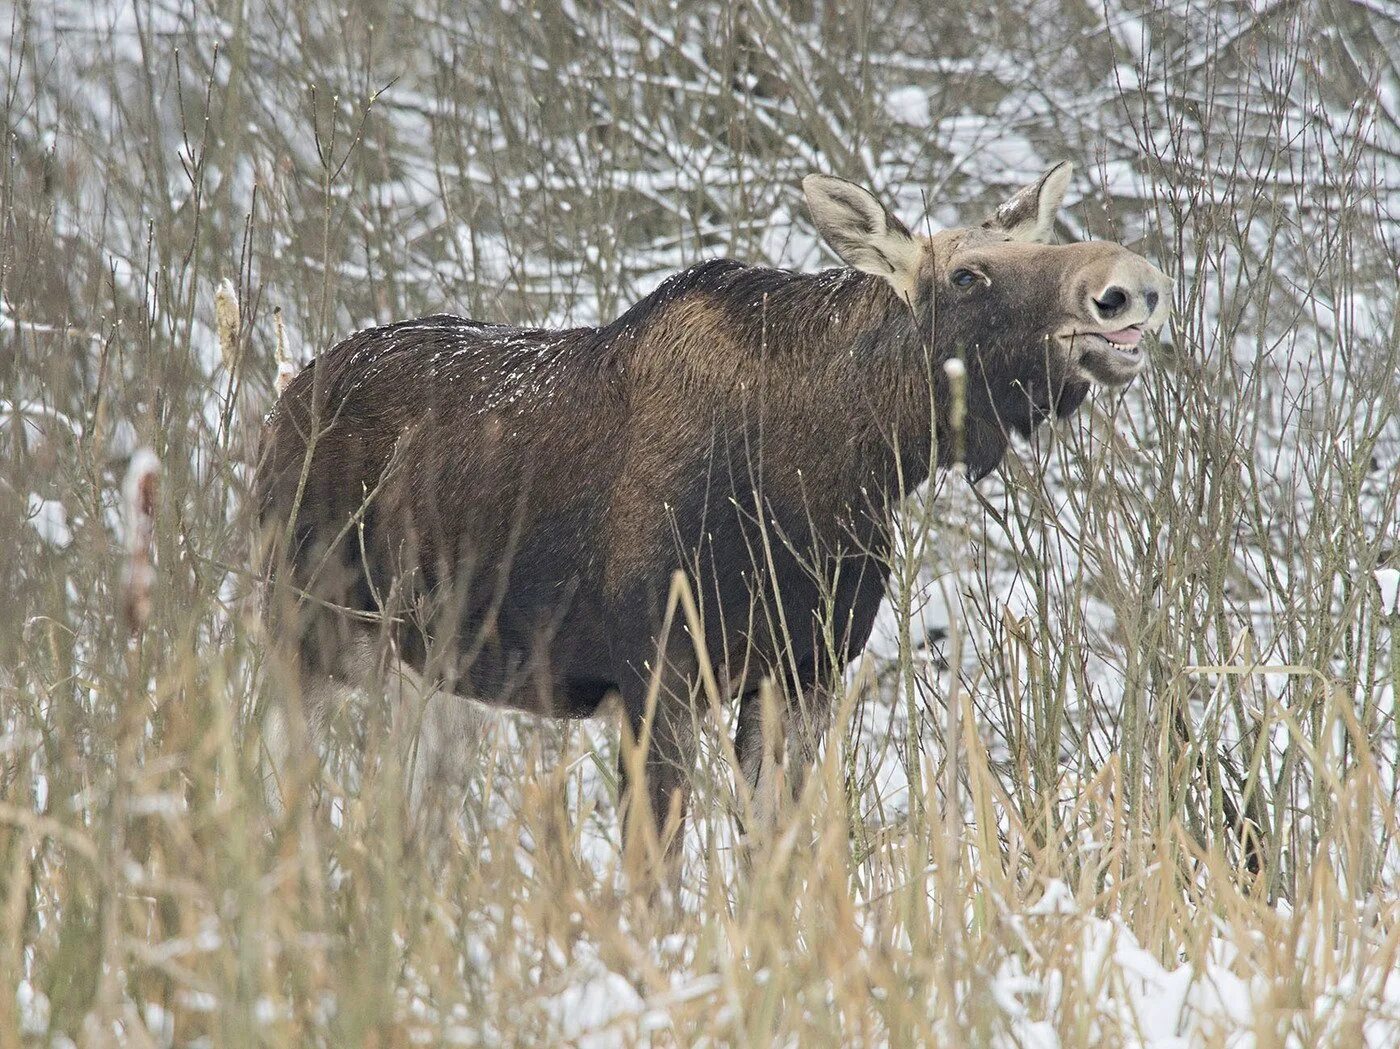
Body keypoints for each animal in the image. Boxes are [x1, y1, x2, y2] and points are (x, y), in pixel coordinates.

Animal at [260, 161, 1170, 851]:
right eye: (968, 274)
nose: (1128, 287)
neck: (838, 476)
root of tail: (285, 399)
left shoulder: (803, 671)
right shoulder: (658, 672)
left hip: (429, 664)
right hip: (308, 629)